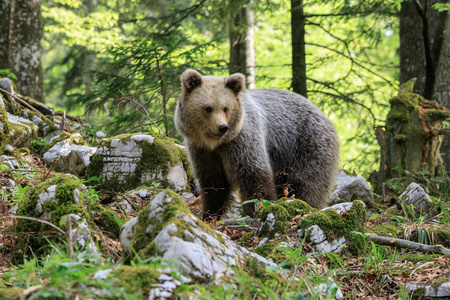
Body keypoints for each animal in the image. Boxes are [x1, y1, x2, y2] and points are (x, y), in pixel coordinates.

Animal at [174, 70, 340, 220]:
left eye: (226, 108)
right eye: (208, 108)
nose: (222, 127)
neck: (216, 144)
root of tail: (324, 116)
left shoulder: (242, 140)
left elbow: (253, 175)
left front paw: (256, 210)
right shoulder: (202, 151)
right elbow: (213, 182)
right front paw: (210, 214)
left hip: (308, 145)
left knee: (308, 182)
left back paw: (307, 205)